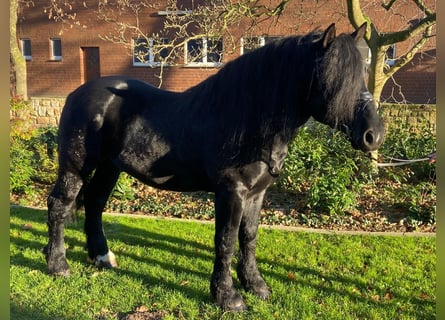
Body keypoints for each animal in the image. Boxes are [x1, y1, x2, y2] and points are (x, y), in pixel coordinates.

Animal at [46, 22, 384, 310]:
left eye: (363, 71)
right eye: (333, 78)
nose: (374, 134)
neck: (248, 121)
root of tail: (77, 94)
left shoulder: (257, 194)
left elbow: (249, 238)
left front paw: (256, 286)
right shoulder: (231, 193)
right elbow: (226, 241)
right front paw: (228, 296)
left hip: (109, 168)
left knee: (94, 203)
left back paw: (101, 256)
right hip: (76, 168)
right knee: (60, 205)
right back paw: (58, 265)